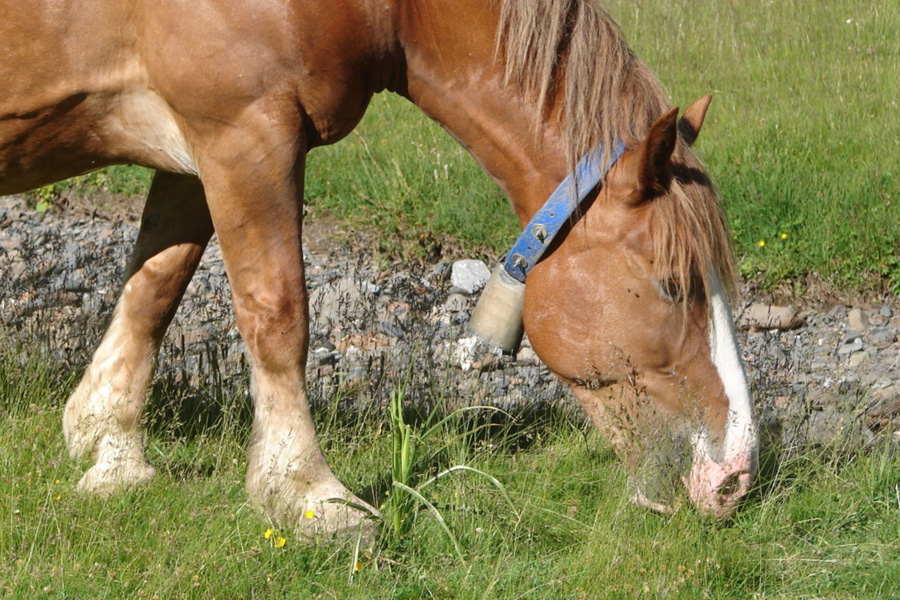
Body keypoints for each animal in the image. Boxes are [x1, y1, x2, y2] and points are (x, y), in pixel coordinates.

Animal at [0, 0, 760, 536]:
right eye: (673, 284)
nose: (733, 478)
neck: (385, 7)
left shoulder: (192, 150)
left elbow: (155, 286)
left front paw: (112, 450)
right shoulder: (243, 133)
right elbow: (278, 312)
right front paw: (310, 495)